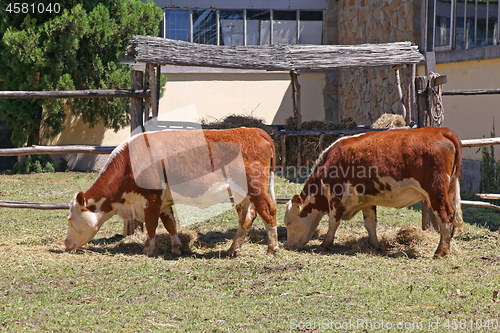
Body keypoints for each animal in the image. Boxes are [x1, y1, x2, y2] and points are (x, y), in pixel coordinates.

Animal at [64, 126, 278, 254]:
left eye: (70, 219)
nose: (66, 243)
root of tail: (254, 131)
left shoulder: (151, 198)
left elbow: (151, 224)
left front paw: (148, 250)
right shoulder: (164, 201)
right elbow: (170, 224)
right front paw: (176, 248)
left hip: (256, 189)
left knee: (268, 211)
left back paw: (272, 247)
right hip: (242, 193)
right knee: (247, 217)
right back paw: (233, 249)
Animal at [286, 127, 464, 256]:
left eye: (288, 223)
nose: (288, 246)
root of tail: (440, 131)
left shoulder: (336, 198)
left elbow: (333, 222)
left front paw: (324, 244)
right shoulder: (366, 200)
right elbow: (370, 223)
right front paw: (376, 245)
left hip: (435, 192)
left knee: (446, 216)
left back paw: (440, 251)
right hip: (447, 191)